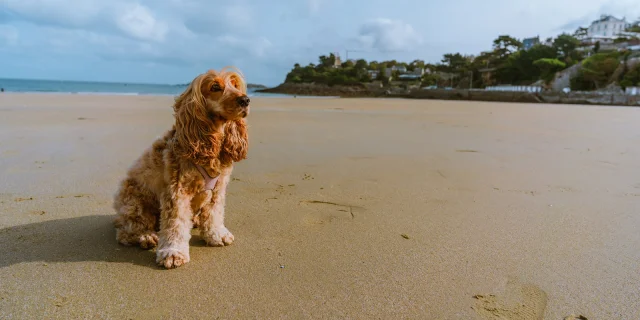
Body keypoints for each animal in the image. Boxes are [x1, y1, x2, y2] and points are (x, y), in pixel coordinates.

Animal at [114, 69, 249, 268]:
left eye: (235, 85)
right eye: (215, 87)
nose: (246, 100)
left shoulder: (218, 189)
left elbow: (214, 213)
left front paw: (217, 234)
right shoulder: (177, 191)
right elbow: (175, 223)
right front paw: (173, 252)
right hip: (133, 200)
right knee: (127, 231)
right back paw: (146, 236)